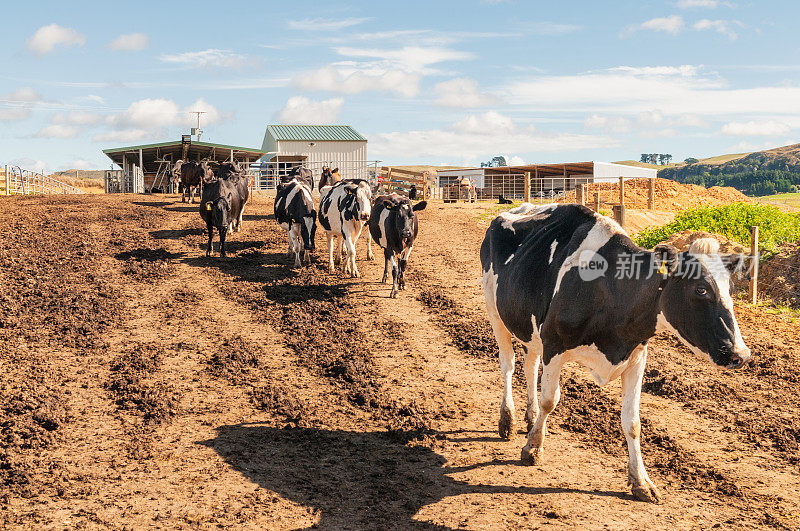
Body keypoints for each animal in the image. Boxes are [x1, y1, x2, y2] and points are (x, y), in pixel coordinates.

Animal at [482, 204, 752, 502]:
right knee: (508, 364)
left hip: (529, 327)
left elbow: (632, 422)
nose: (741, 354)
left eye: (731, 290)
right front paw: (532, 449)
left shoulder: (636, 356)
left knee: (530, 364)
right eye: (701, 289)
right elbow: (550, 400)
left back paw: (530, 419)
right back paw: (507, 420)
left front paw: (641, 481)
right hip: (495, 309)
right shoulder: (555, 345)